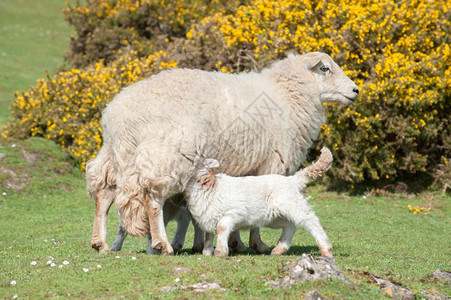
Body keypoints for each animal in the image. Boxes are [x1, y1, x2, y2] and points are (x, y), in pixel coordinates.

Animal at [185, 146, 336, 256]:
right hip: (275, 216)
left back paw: (326, 250)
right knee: (290, 225)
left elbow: (221, 228)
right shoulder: (207, 216)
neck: (209, 185)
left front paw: (220, 252)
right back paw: (279, 249)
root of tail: (293, 180)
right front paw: (207, 252)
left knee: (311, 221)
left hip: (294, 205)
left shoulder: (233, 212)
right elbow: (208, 235)